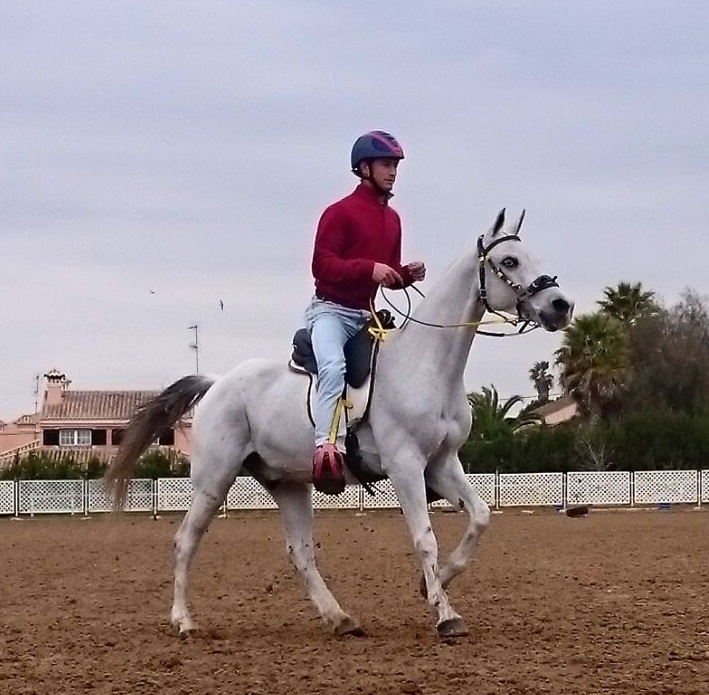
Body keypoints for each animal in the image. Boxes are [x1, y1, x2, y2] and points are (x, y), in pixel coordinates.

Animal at [103, 208, 568, 640]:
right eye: (509, 261)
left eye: (532, 256)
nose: (561, 306)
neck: (426, 365)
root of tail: (217, 382)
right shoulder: (406, 466)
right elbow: (425, 537)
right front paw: (446, 614)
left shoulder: (442, 463)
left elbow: (480, 517)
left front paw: (433, 584)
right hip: (212, 481)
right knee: (186, 541)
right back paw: (184, 621)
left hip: (289, 483)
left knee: (300, 552)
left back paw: (340, 618)